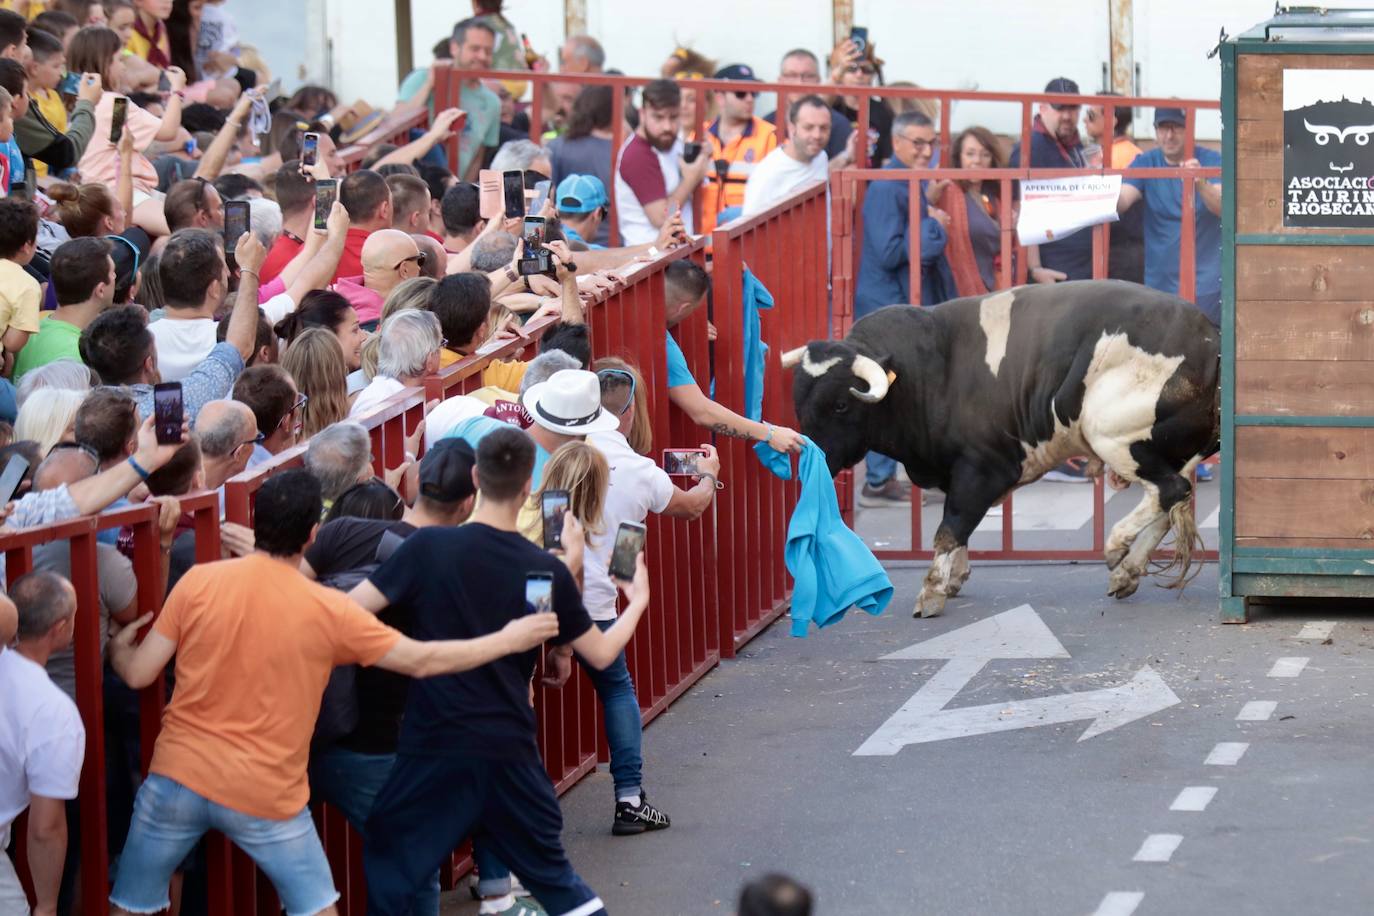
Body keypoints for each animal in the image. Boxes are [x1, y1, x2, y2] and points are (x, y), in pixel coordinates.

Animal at [785, 282, 1225, 620]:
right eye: (799, 402)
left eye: (841, 405)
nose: (812, 456)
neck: (926, 375)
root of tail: (1210, 338)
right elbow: (959, 529)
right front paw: (955, 577)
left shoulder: (981, 469)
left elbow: (951, 527)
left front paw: (932, 590)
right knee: (1171, 501)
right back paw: (1127, 572)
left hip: (1113, 435)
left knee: (1169, 491)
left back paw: (1116, 545)